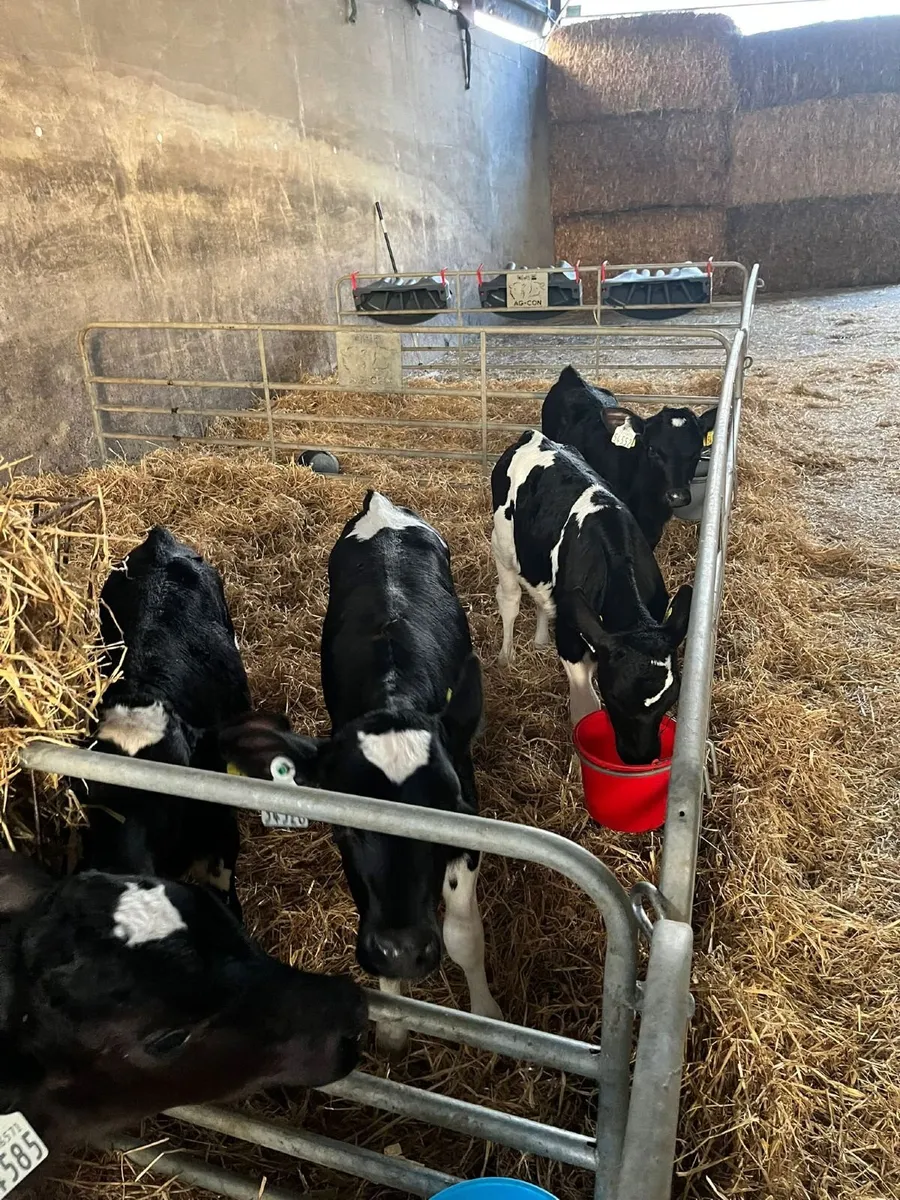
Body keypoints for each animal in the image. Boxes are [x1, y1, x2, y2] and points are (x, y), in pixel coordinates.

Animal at [220, 490, 501, 1057]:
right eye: (346, 829)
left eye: (445, 816)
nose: (403, 950)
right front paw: (393, 1027)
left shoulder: (470, 822)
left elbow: (464, 935)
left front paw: (485, 1017)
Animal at [491, 430, 692, 763]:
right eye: (615, 697)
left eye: (671, 698)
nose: (640, 758)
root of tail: (535, 435)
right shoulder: (571, 642)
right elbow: (586, 709)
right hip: (503, 545)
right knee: (510, 600)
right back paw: (507, 655)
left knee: (543, 600)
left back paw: (540, 641)